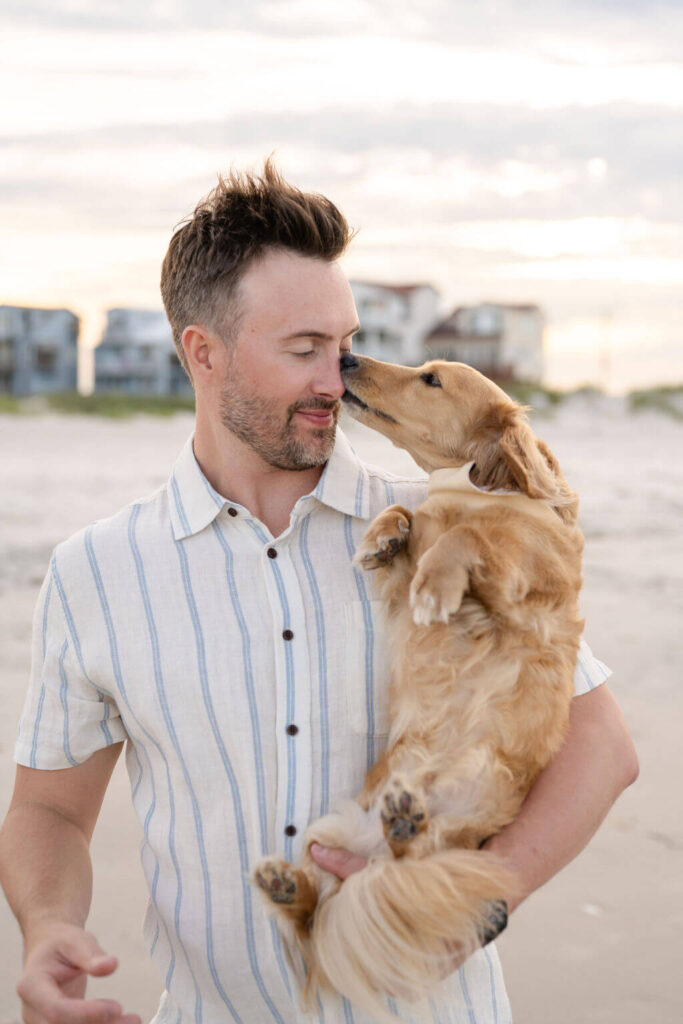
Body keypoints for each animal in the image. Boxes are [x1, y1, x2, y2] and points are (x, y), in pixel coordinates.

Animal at [253, 356, 585, 1019]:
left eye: (431, 379)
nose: (348, 357)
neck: (473, 491)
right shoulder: (407, 569)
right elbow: (411, 522)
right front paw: (381, 536)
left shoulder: (530, 574)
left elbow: (468, 540)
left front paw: (438, 584)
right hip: (329, 841)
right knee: (314, 916)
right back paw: (296, 883)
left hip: (455, 841)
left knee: (404, 863)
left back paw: (403, 824)